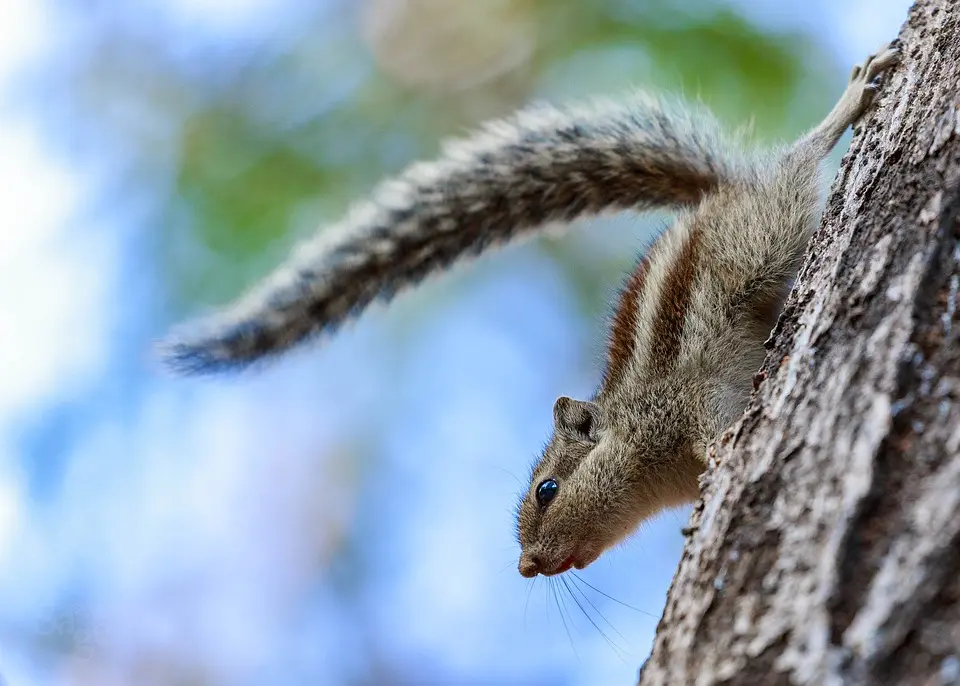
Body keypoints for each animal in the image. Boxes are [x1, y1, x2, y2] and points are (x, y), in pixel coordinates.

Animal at [158, 45, 900, 576]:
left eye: (547, 490)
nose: (525, 566)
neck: (637, 441)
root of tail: (716, 196)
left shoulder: (684, 403)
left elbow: (716, 429)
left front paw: (721, 455)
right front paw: (693, 520)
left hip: (762, 230)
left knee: (798, 160)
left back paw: (854, 95)